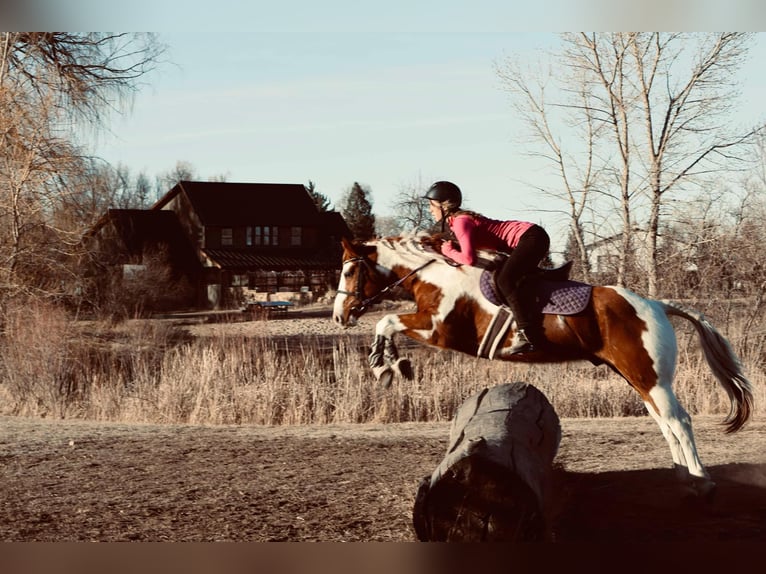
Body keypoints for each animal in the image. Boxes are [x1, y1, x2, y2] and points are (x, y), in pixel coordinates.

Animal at [331, 234, 754, 497]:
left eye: (350, 271)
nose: (339, 316)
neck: (437, 277)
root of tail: (656, 304)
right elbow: (387, 325)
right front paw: (390, 365)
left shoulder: (442, 331)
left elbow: (388, 321)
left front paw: (386, 366)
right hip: (639, 378)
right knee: (665, 422)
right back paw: (683, 475)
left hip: (651, 378)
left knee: (679, 421)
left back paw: (701, 483)